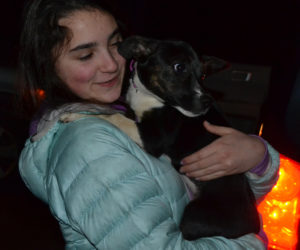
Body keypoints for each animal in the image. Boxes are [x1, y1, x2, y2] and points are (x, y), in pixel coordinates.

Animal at [61, 35, 260, 240]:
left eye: (203, 75)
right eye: (179, 67)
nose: (207, 101)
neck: (147, 95)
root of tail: (253, 226)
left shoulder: (153, 137)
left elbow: (114, 116)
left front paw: (75, 115)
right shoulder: (134, 114)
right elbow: (117, 113)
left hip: (193, 217)